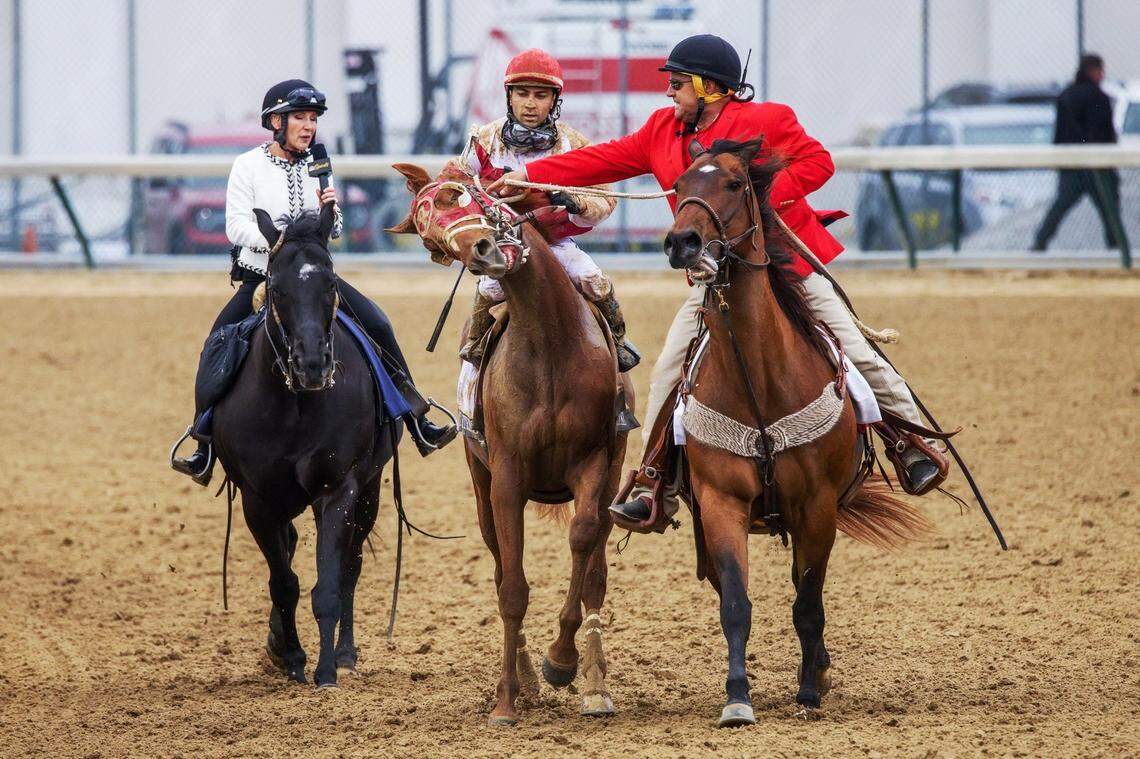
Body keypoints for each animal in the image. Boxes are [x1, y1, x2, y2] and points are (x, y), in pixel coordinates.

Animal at [211, 204, 398, 688]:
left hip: (368, 492)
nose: (312, 363)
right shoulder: (258, 501)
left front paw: (327, 670)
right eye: (276, 287)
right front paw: (293, 658)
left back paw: (346, 652)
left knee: (351, 565)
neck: (294, 404)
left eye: (330, 282)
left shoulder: (339, 490)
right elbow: (285, 583)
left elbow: (329, 583)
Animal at [387, 164, 631, 725]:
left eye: (460, 194)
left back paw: (594, 685)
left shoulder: (595, 462)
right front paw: (508, 697)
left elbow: (583, 541)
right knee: (500, 565)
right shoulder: (507, 477)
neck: (550, 343)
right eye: (431, 242)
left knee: (597, 572)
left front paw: (563, 662)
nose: (481, 251)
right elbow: (512, 588)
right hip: (480, 486)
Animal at [664, 138, 929, 726]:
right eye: (680, 182)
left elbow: (808, 604)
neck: (760, 380)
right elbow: (735, 604)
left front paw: (809, 690)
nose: (682, 242)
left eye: (736, 183)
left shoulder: (817, 505)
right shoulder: (720, 502)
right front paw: (737, 697)